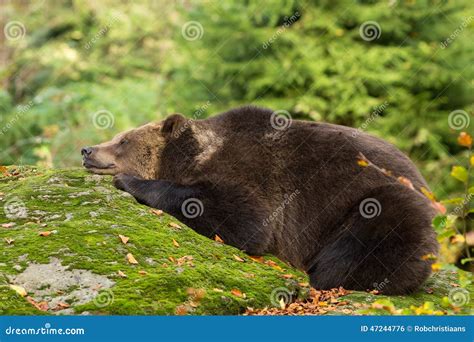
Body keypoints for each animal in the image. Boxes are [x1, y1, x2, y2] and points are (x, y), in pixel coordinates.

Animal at [80, 106, 436, 294]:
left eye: (123, 140)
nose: (87, 150)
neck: (194, 156)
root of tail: (426, 185)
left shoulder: (255, 172)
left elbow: (245, 219)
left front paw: (130, 181)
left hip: (378, 200)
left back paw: (323, 271)